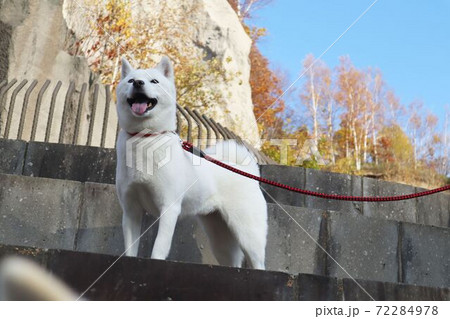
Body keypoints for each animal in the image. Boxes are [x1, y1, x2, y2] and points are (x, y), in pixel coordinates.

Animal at [115, 57, 268, 270]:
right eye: (130, 81)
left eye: (154, 81)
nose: (138, 83)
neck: (144, 139)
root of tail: (246, 170)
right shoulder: (131, 210)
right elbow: (130, 248)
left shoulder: (169, 208)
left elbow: (159, 246)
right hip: (219, 236)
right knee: (233, 260)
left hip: (248, 233)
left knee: (258, 262)